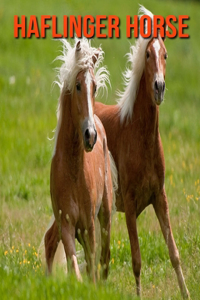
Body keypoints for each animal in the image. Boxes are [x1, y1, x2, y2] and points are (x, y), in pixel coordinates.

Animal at [44, 38, 115, 282]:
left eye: (94, 87)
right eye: (77, 86)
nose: (90, 135)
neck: (73, 170)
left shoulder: (88, 225)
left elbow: (93, 266)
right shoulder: (67, 224)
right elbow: (74, 266)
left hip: (105, 215)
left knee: (104, 258)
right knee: (49, 241)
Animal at [94, 5, 190, 300]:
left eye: (166, 54)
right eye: (148, 54)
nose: (159, 87)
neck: (139, 138)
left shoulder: (160, 197)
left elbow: (174, 253)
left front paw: (187, 293)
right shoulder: (131, 204)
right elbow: (136, 260)